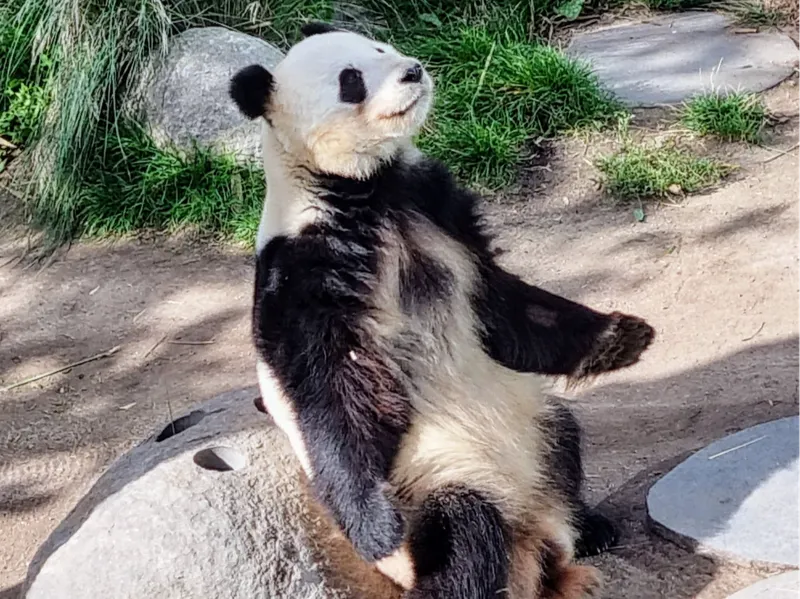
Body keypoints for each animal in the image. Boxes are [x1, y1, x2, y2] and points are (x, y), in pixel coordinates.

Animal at [229, 22, 654, 599]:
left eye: (379, 47)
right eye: (351, 80)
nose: (413, 70)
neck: (366, 191)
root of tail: (533, 538)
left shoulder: (436, 209)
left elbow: (504, 308)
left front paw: (622, 335)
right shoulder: (303, 269)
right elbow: (332, 389)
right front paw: (375, 529)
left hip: (533, 426)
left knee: (564, 437)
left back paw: (590, 530)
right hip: (437, 472)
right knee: (466, 533)